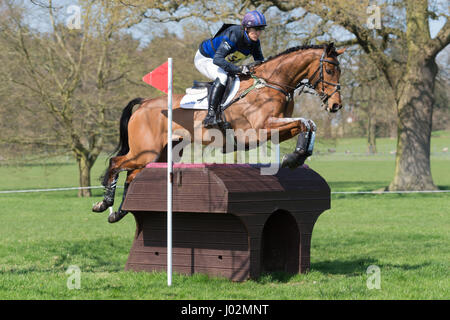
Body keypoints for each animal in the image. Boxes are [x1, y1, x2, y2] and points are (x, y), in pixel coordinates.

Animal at [90, 42, 344, 222]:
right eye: (330, 69)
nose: (336, 106)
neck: (271, 83)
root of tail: (144, 103)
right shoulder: (261, 129)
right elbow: (306, 122)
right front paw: (295, 157)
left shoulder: (277, 129)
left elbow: (308, 123)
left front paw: (297, 156)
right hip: (145, 151)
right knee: (116, 163)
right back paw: (104, 204)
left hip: (159, 154)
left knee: (131, 175)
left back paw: (119, 212)